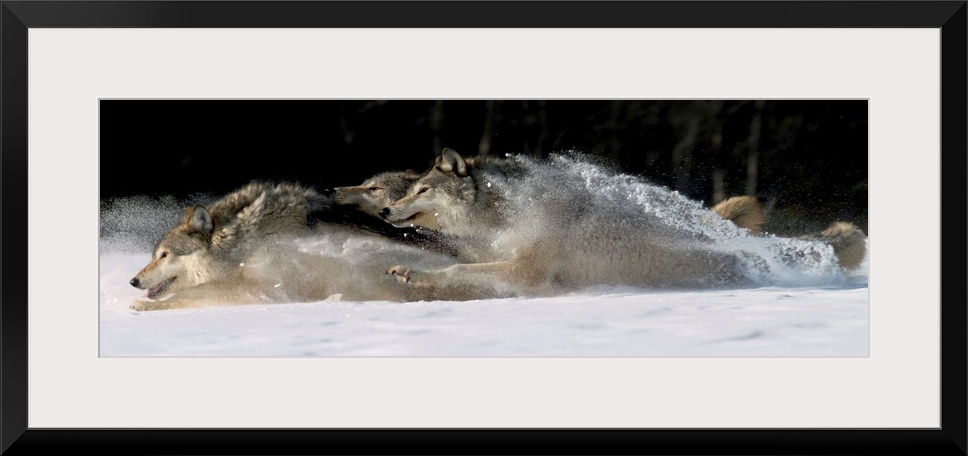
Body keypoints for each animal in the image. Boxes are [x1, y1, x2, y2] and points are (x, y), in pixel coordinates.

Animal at [379, 148, 867, 297]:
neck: (503, 210)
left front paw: (411, 274)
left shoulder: (527, 270)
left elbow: (455, 268)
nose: (383, 211)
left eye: (422, 190)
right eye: (409, 190)